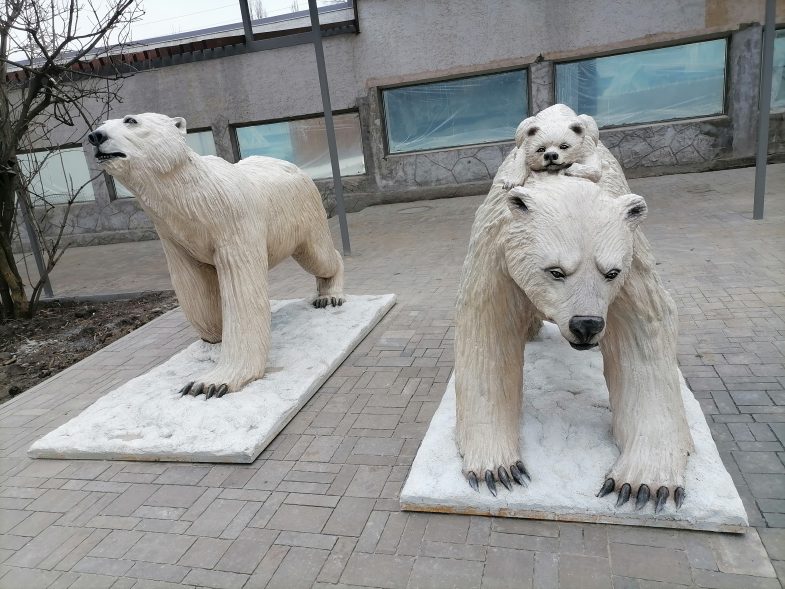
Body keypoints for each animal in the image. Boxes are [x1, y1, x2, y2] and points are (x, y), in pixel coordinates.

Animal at [89, 113, 344, 400]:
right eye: (100, 123)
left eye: (130, 120)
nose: (95, 136)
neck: (197, 198)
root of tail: (294, 166)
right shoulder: (173, 235)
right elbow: (194, 288)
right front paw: (213, 338)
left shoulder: (234, 220)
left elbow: (241, 290)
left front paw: (210, 383)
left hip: (302, 212)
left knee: (319, 254)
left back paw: (330, 295)